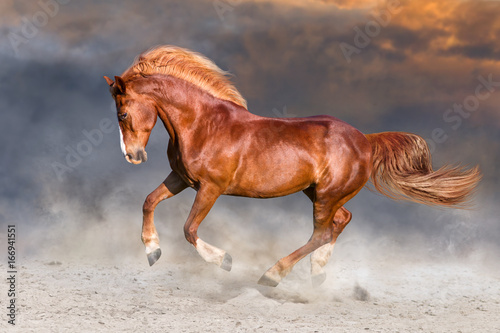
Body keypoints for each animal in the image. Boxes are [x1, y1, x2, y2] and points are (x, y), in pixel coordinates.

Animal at [103, 45, 482, 286]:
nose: (133, 156)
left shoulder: (211, 188)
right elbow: (149, 201)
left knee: (322, 232)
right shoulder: (181, 178)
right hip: (318, 194)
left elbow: (189, 229)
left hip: (326, 196)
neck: (202, 123)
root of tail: (365, 140)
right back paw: (317, 273)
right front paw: (153, 251)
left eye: (122, 114)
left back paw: (273, 275)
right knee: (340, 222)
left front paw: (224, 261)